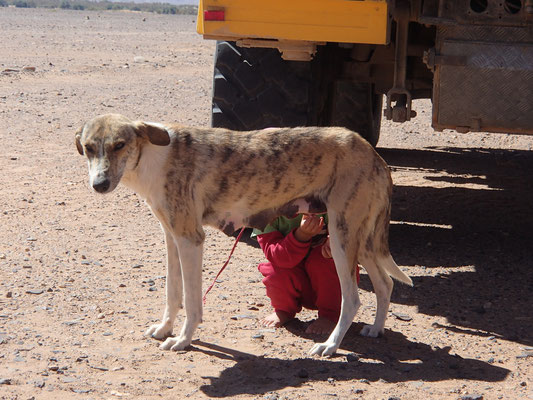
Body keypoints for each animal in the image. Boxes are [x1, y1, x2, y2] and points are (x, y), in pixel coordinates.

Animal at [75, 112, 412, 356]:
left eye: (119, 145)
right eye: (89, 148)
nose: (99, 184)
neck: (153, 157)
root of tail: (374, 154)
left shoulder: (191, 239)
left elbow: (192, 301)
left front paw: (183, 340)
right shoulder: (172, 238)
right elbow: (172, 292)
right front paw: (164, 329)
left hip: (343, 240)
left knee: (353, 298)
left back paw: (330, 345)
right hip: (361, 240)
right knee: (385, 284)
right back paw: (375, 329)